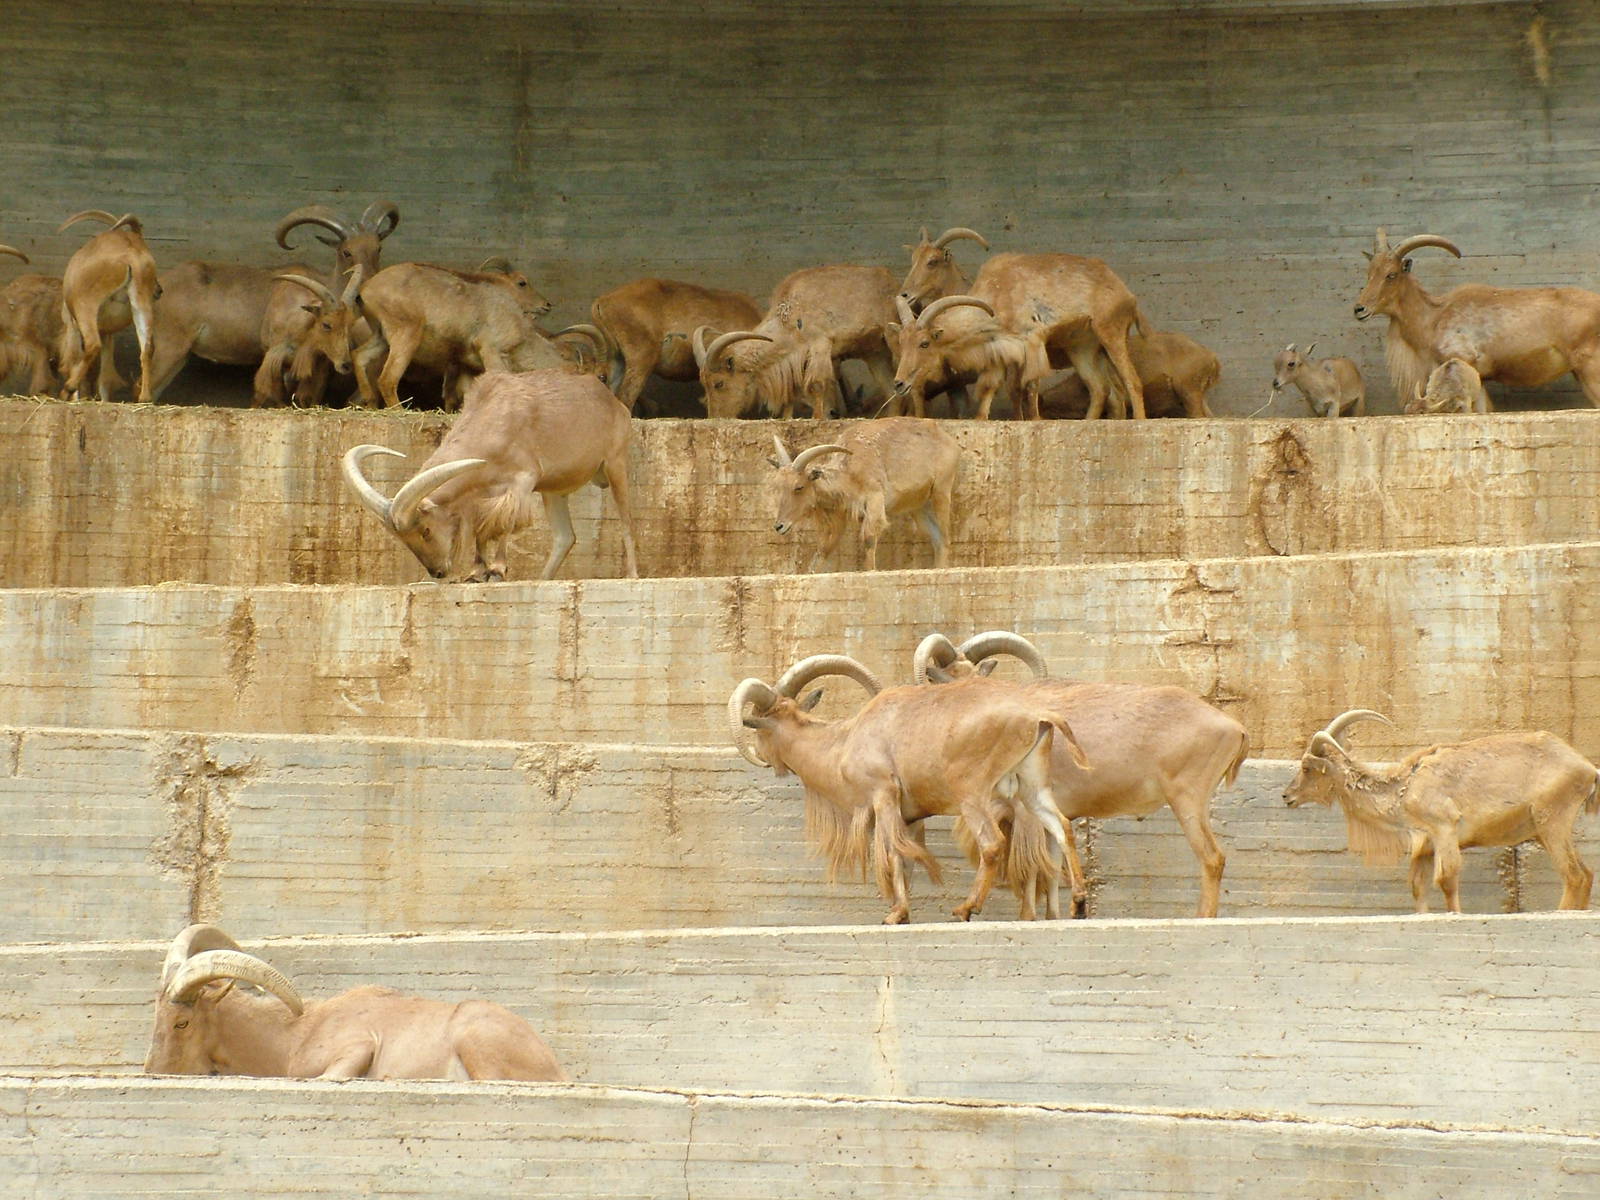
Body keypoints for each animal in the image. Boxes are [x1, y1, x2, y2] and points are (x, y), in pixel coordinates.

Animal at [145, 924, 565, 1081]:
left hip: (475, 1040)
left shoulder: (357, 1044)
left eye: (182, 1022)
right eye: (156, 1017)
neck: (290, 1037)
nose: (153, 1071)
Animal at [767, 417, 960, 572]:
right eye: (776, 486)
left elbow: (868, 539)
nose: (779, 526)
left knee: (945, 538)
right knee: (937, 538)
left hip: (941, 491)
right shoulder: (838, 517)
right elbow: (823, 550)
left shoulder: (874, 498)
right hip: (918, 507)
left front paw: (870, 571)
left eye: (798, 487)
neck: (849, 469)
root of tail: (948, 439)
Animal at [1283, 710, 1597, 913]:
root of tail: (1588, 768)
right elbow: (1418, 887)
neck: (1405, 786)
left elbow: (1446, 879)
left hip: (1552, 820)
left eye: (1307, 768)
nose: (1287, 796)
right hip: (1544, 829)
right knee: (1586, 874)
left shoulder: (1444, 828)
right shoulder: (1425, 846)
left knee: (1573, 875)